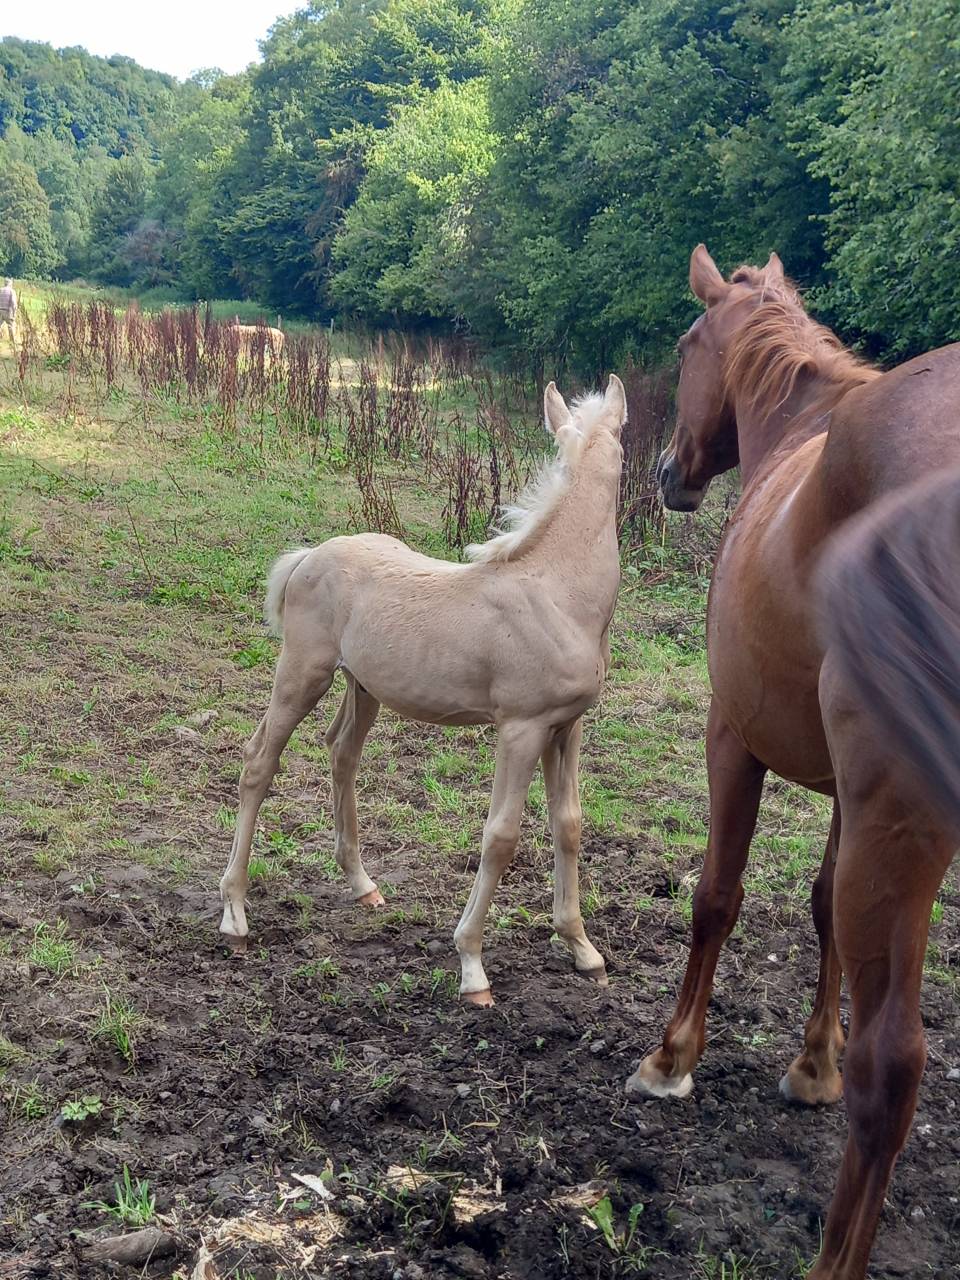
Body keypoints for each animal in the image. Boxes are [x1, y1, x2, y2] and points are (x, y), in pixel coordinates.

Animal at [219, 375, 627, 1005]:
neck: (559, 595)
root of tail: (309, 555)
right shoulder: (521, 728)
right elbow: (501, 836)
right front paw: (472, 966)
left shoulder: (567, 725)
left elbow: (569, 825)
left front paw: (584, 951)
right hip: (303, 671)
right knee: (260, 760)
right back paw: (235, 916)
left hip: (363, 686)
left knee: (342, 751)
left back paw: (362, 884)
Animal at [626, 244, 960, 1279]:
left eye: (685, 345)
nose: (668, 471)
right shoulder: (850, 800)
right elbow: (821, 916)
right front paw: (812, 1066)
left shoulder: (734, 737)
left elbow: (715, 897)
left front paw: (672, 1059)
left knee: (897, 1064)